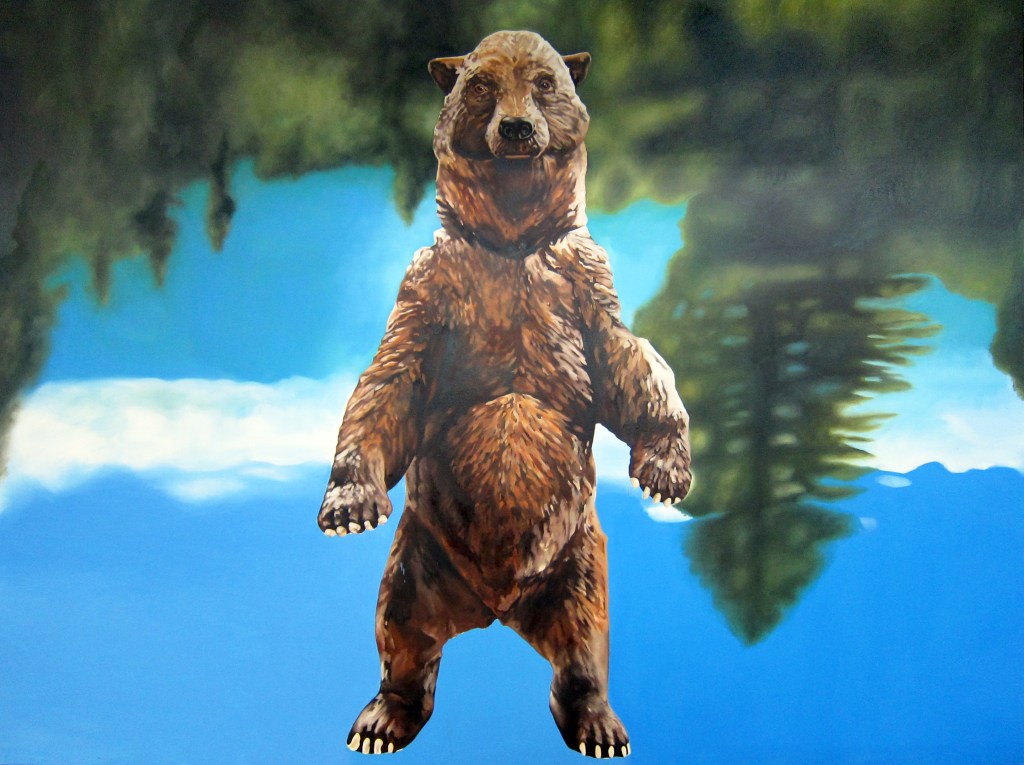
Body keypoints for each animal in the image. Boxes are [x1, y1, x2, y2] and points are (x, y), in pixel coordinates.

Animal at [317, 30, 692, 758]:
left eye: (544, 83)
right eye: (482, 85)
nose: (516, 128)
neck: (512, 239)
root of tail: (495, 609)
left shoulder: (582, 284)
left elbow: (632, 363)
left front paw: (665, 473)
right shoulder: (433, 288)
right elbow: (388, 384)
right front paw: (348, 504)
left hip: (578, 560)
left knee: (584, 643)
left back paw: (598, 724)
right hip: (418, 559)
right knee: (400, 632)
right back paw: (380, 720)